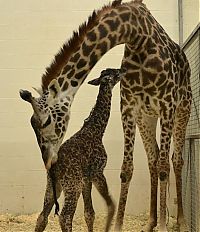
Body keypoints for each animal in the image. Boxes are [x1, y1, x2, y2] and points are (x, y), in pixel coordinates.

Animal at [35, 68, 124, 232]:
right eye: (115, 73)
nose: (124, 69)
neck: (97, 130)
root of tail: (54, 168)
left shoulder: (86, 179)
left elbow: (89, 213)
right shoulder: (97, 171)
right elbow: (111, 205)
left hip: (53, 186)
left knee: (42, 216)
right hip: (72, 186)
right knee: (64, 216)